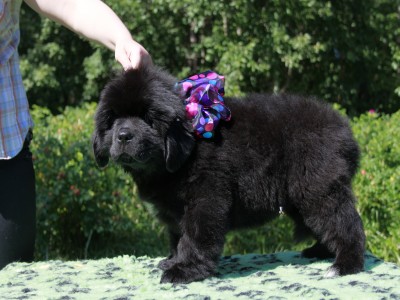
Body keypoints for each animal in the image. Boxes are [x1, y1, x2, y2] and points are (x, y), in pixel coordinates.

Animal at [93, 65, 366, 284]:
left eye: (148, 119)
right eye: (113, 118)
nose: (123, 136)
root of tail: (346, 131)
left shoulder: (205, 197)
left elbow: (195, 235)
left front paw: (184, 270)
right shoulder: (176, 209)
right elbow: (178, 236)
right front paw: (173, 261)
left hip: (317, 187)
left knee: (345, 222)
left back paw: (344, 265)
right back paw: (321, 252)